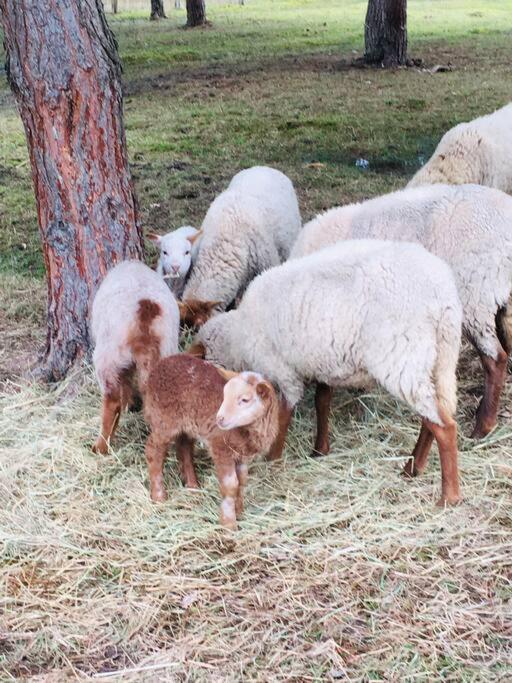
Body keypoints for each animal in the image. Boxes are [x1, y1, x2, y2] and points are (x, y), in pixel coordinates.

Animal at [143, 356, 280, 532]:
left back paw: (193, 486)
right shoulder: (220, 447)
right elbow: (230, 485)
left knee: (184, 447)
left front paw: (239, 511)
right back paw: (159, 496)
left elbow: (242, 481)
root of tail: (160, 364)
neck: (247, 431)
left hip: (186, 423)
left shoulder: (242, 455)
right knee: (153, 450)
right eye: (224, 395)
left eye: (245, 400)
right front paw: (229, 523)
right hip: (164, 418)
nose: (219, 419)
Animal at [189, 240, 464, 508]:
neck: (239, 336)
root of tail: (443, 298)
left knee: (444, 426)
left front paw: (273, 458)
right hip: (439, 359)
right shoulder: (323, 363)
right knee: (434, 415)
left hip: (403, 359)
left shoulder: (282, 371)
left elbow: (283, 413)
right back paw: (412, 468)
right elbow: (322, 401)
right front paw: (320, 449)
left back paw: (448, 496)